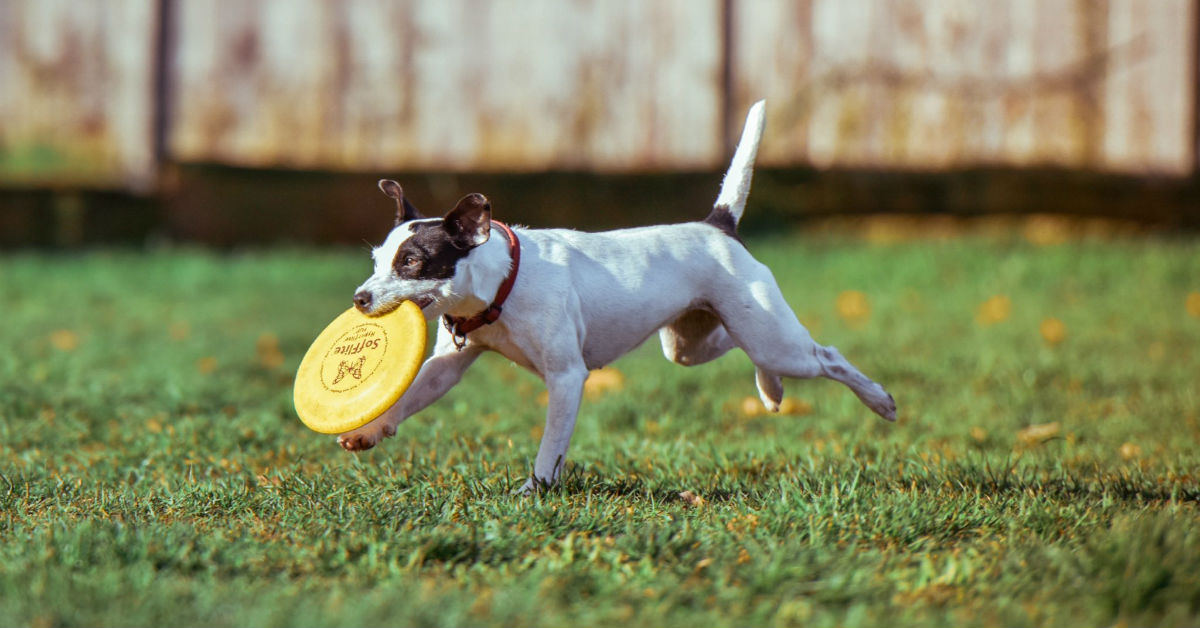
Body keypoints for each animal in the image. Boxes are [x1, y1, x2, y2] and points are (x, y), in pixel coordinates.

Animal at [336, 100, 892, 494]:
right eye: (376, 260)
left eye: (411, 262)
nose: (360, 298)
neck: (502, 284)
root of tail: (718, 226)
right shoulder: (446, 366)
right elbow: (410, 396)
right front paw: (370, 430)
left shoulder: (566, 378)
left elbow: (550, 447)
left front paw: (533, 491)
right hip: (691, 343)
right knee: (739, 347)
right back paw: (770, 390)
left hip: (775, 340)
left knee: (827, 356)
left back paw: (879, 400)